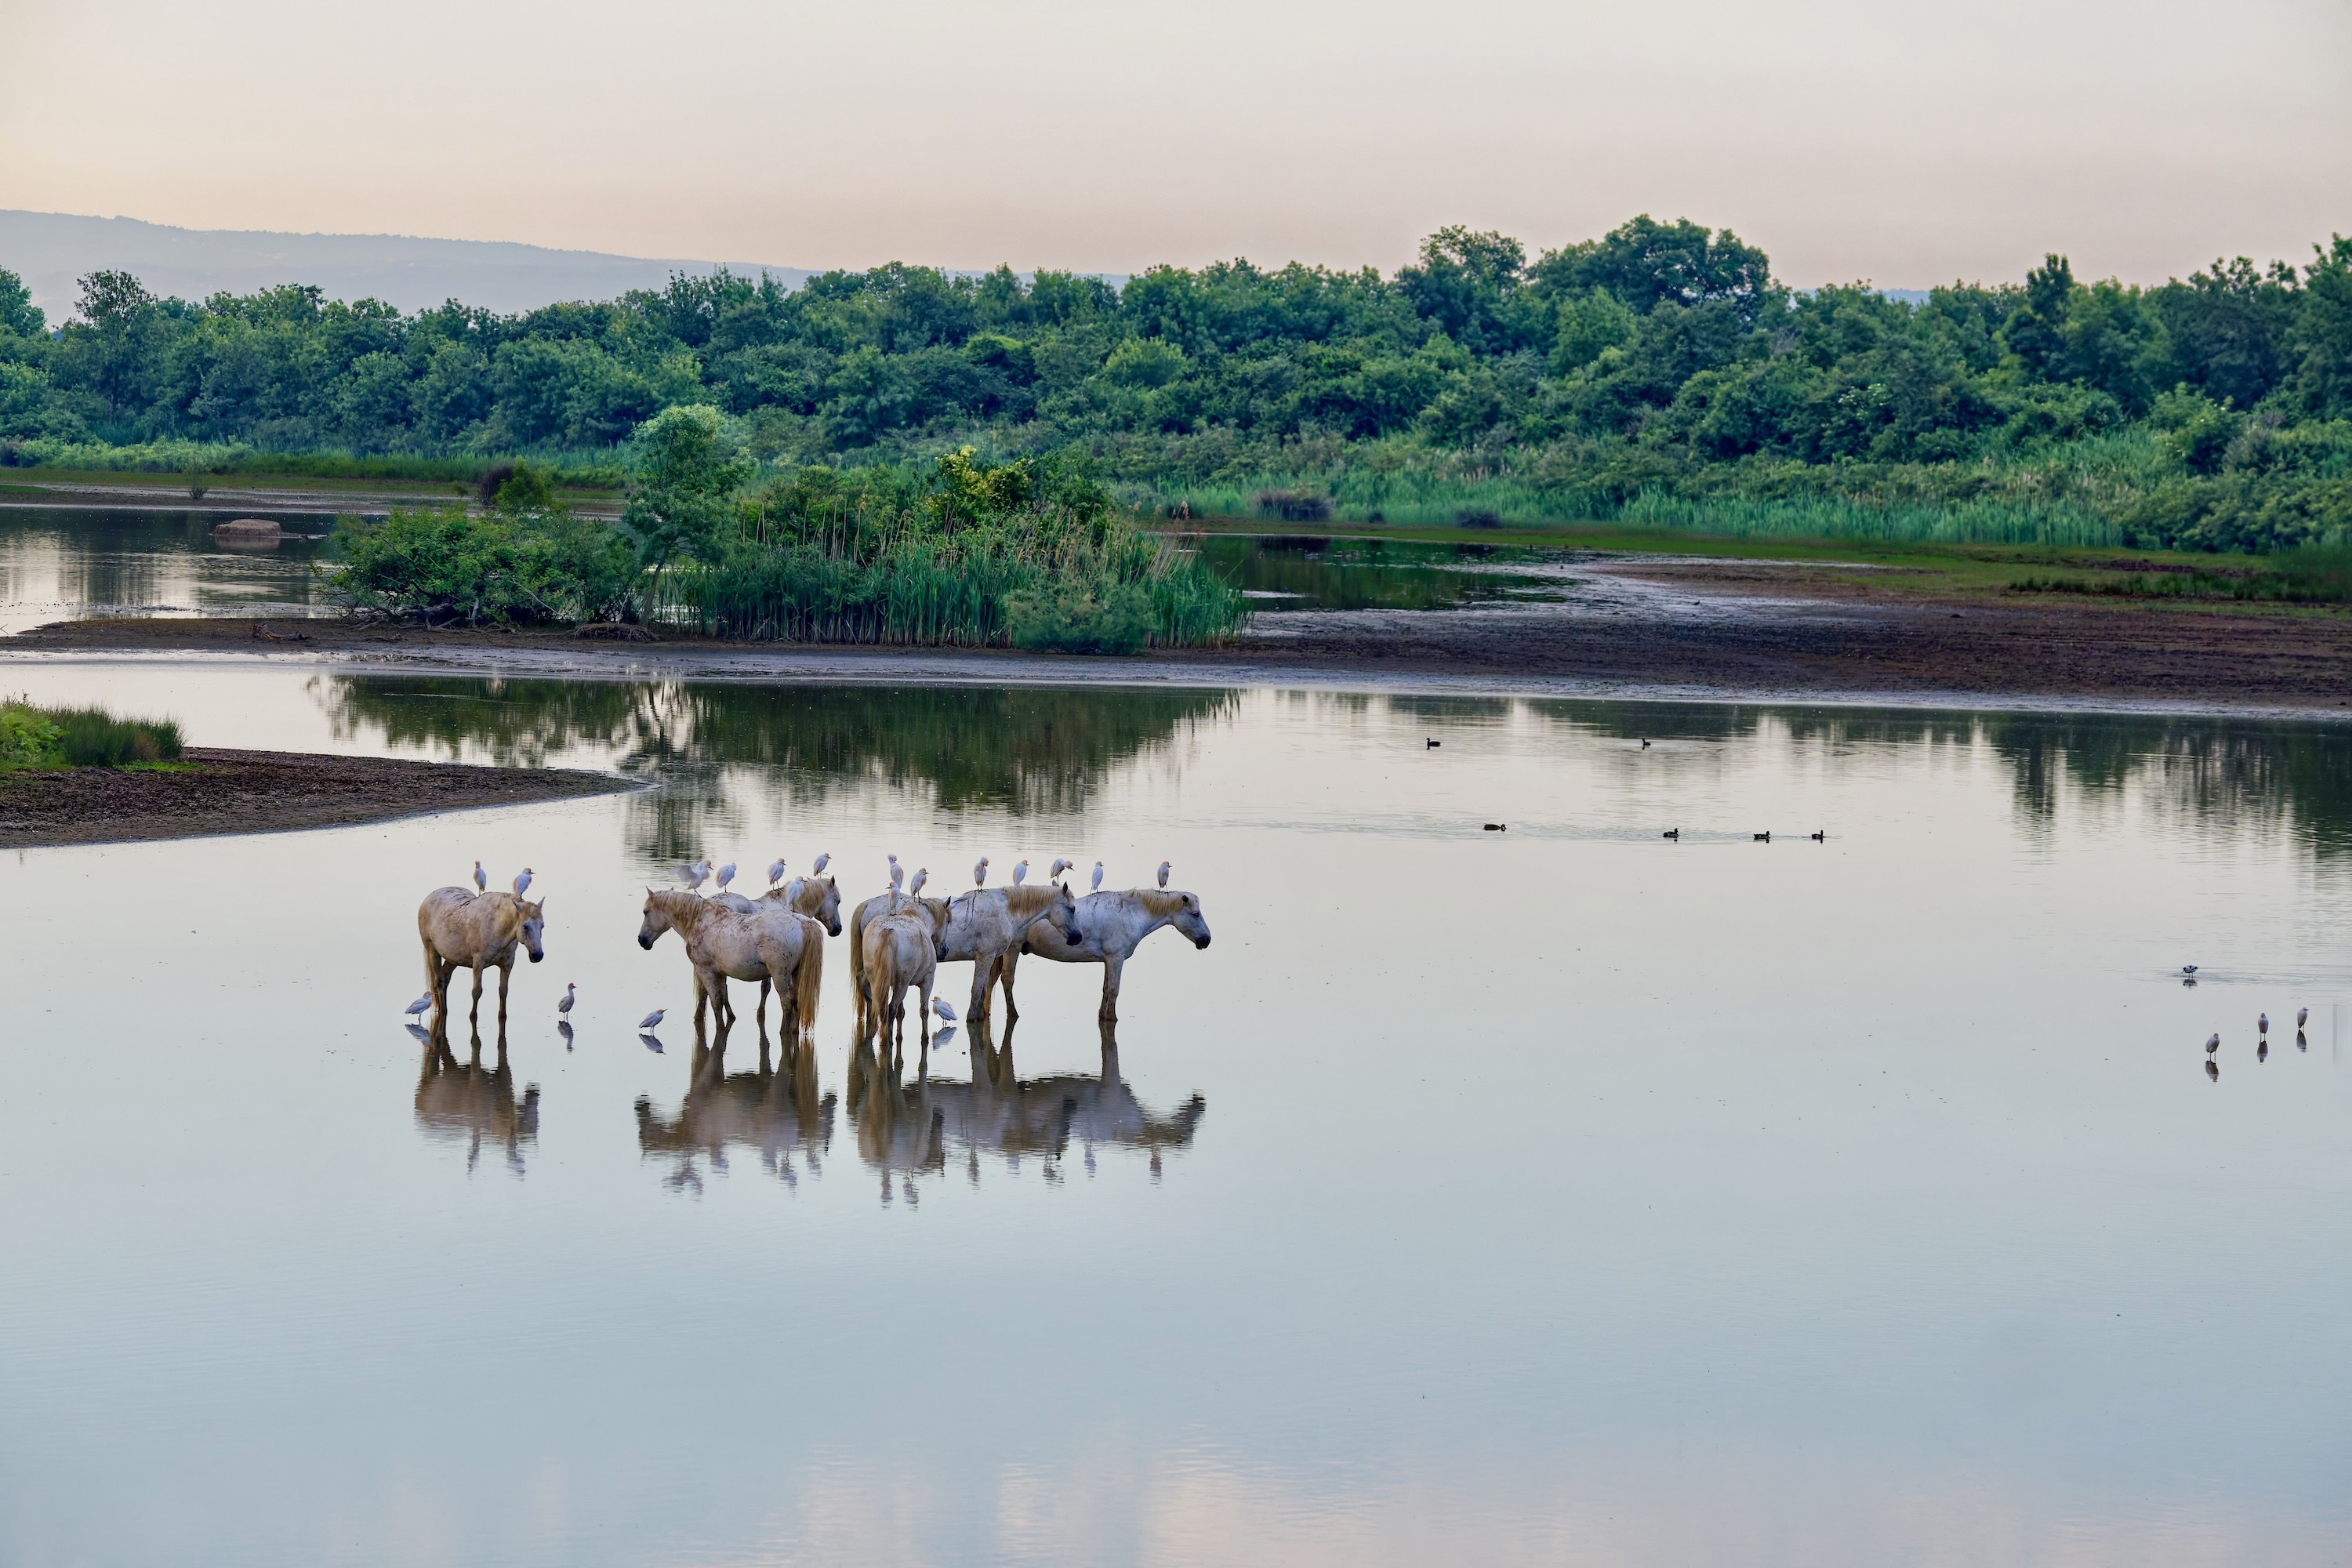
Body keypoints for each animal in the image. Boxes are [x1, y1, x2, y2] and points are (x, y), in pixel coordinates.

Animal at [418, 887, 546, 1032]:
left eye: (542, 926)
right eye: (525, 926)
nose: (538, 955)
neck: (497, 925)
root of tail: (429, 898)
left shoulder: (507, 965)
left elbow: (503, 991)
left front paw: (502, 1016)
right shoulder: (478, 963)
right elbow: (477, 992)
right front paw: (473, 1016)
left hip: (453, 958)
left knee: (445, 979)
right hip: (432, 951)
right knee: (439, 981)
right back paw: (443, 1012)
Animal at [635, 889, 824, 1036]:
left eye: (646, 912)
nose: (642, 940)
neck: (700, 919)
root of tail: (804, 923)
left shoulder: (705, 971)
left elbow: (715, 1001)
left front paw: (719, 1026)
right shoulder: (720, 973)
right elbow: (722, 996)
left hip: (781, 977)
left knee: (787, 1004)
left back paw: (783, 1032)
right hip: (797, 974)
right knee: (798, 1003)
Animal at [997, 888, 1211, 1023]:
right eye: (1195, 914)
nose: (1207, 940)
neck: (1129, 914)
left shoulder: (1108, 960)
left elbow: (1106, 989)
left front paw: (1103, 1015)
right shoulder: (1116, 959)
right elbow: (1114, 990)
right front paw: (1111, 1018)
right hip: (1012, 949)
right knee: (1008, 981)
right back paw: (1013, 1014)